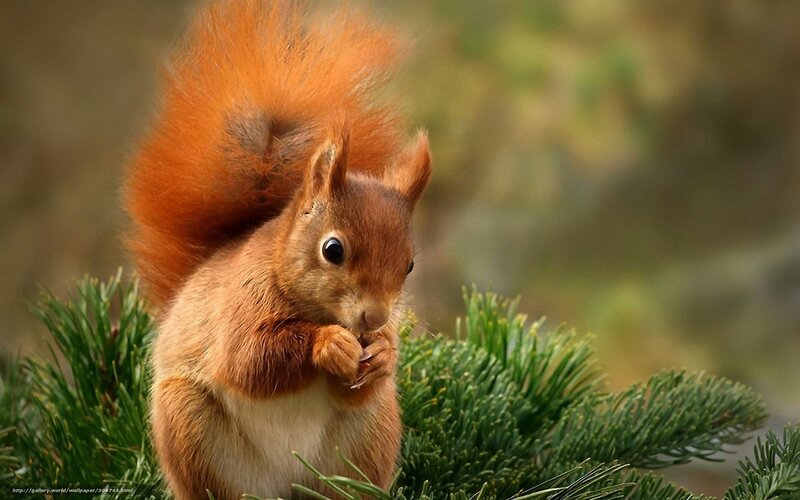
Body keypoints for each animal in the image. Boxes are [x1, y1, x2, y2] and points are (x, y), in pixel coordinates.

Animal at [124, 1, 431, 499]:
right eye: (332, 249)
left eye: (408, 265)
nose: (375, 318)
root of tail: (288, 484)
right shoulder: (241, 304)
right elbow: (250, 359)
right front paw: (328, 344)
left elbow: (360, 383)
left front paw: (384, 354)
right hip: (188, 425)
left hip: (369, 437)